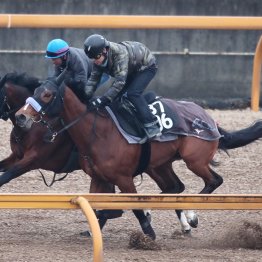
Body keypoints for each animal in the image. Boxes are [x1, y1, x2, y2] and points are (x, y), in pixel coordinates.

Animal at [15, 78, 262, 239]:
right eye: (35, 91)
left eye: (47, 94)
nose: (21, 116)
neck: (98, 131)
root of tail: (209, 120)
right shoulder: (98, 178)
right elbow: (97, 205)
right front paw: (94, 228)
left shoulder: (123, 178)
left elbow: (128, 206)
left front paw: (148, 234)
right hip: (159, 164)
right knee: (175, 186)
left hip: (195, 160)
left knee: (213, 181)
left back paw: (191, 216)